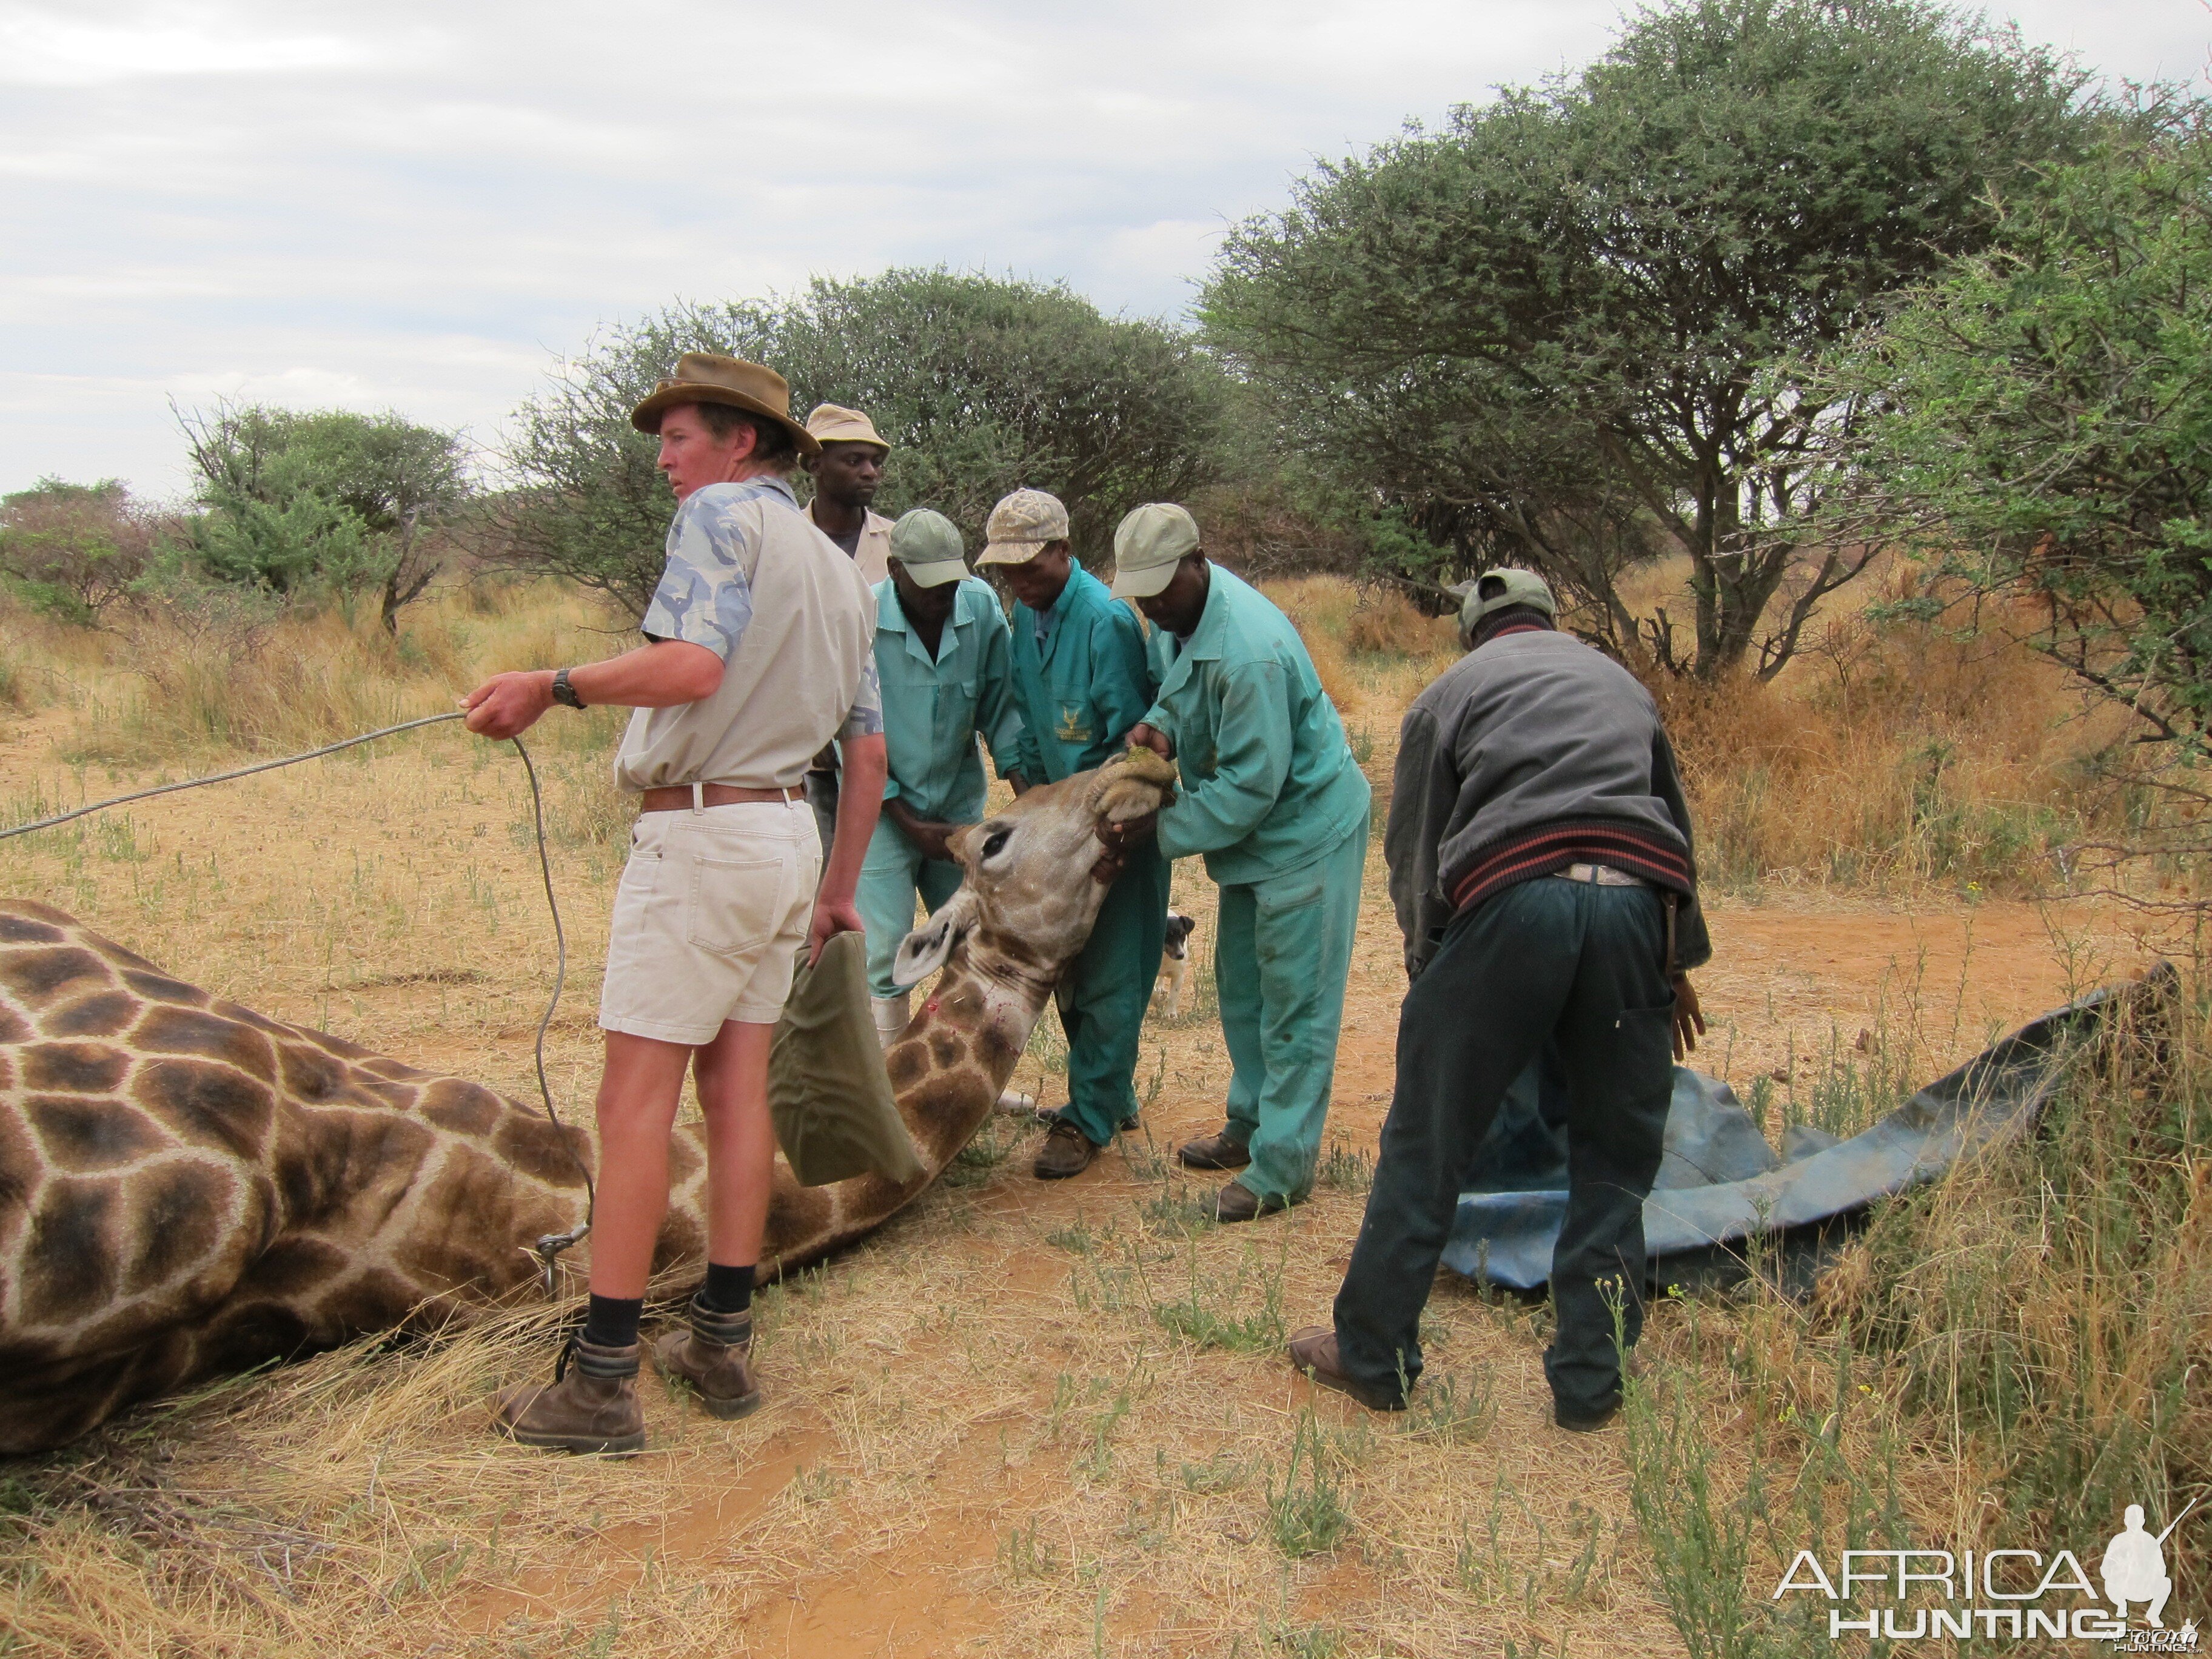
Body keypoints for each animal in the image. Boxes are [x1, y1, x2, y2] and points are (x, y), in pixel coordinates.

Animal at [1150, 916, 1203, 1022]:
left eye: (1183, 935)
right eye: (1168, 935)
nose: (1181, 955)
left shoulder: (1178, 976)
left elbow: (1173, 996)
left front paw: (1170, 1013)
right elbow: (1153, 994)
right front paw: (1157, 1002)